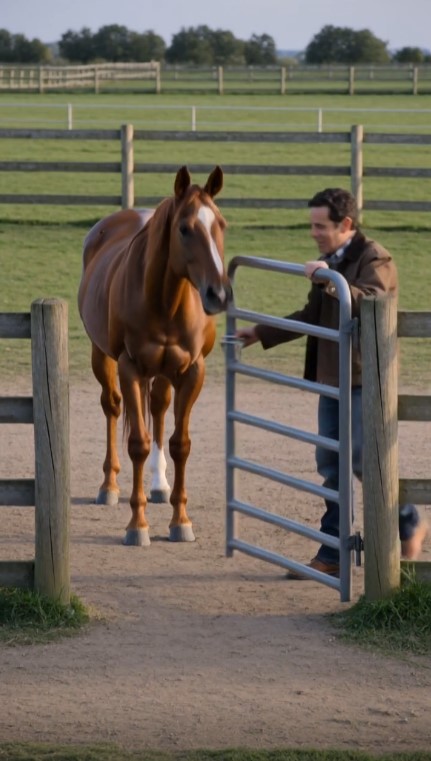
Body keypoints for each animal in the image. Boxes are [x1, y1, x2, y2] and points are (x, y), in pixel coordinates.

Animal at [78, 166, 232, 546]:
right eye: (184, 228)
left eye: (221, 224)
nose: (219, 294)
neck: (165, 301)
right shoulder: (130, 369)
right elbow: (138, 443)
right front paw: (137, 525)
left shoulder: (192, 371)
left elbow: (180, 444)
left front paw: (181, 521)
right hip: (103, 358)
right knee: (112, 407)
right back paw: (109, 486)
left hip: (163, 372)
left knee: (160, 409)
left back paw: (160, 486)